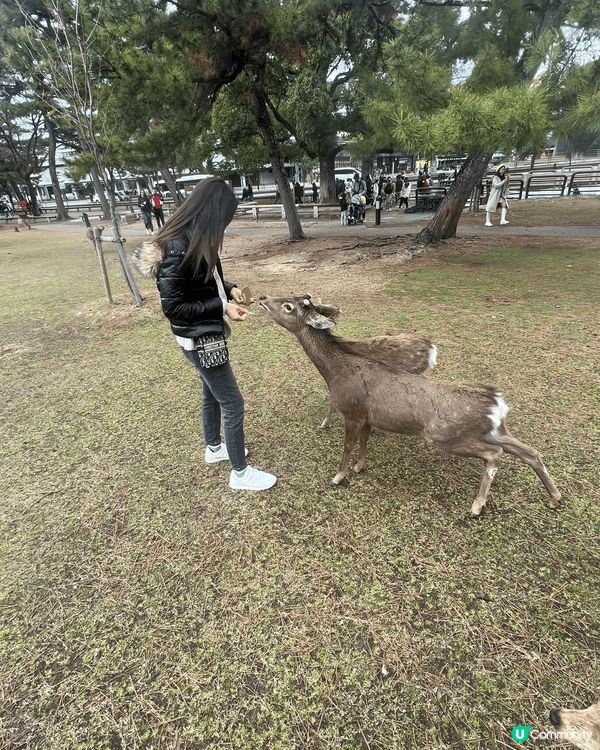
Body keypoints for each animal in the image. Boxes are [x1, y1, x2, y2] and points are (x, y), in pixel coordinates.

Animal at [258, 294, 562, 518]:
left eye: (287, 306)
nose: (262, 298)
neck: (334, 371)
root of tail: (496, 403)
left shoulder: (352, 411)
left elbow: (347, 447)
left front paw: (338, 476)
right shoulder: (368, 417)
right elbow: (364, 443)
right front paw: (360, 467)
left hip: (445, 436)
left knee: (494, 455)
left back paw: (477, 507)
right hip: (495, 430)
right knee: (530, 452)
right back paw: (555, 498)